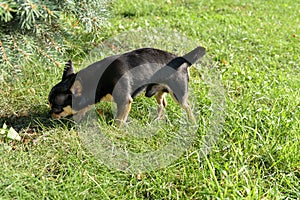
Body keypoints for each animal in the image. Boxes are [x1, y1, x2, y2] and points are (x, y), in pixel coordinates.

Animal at [48, 46, 205, 126]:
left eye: (56, 109)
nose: (50, 115)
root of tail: (182, 59)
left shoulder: (125, 101)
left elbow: (119, 120)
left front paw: (115, 131)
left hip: (179, 93)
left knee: (188, 106)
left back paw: (192, 123)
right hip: (158, 91)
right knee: (163, 104)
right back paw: (157, 120)